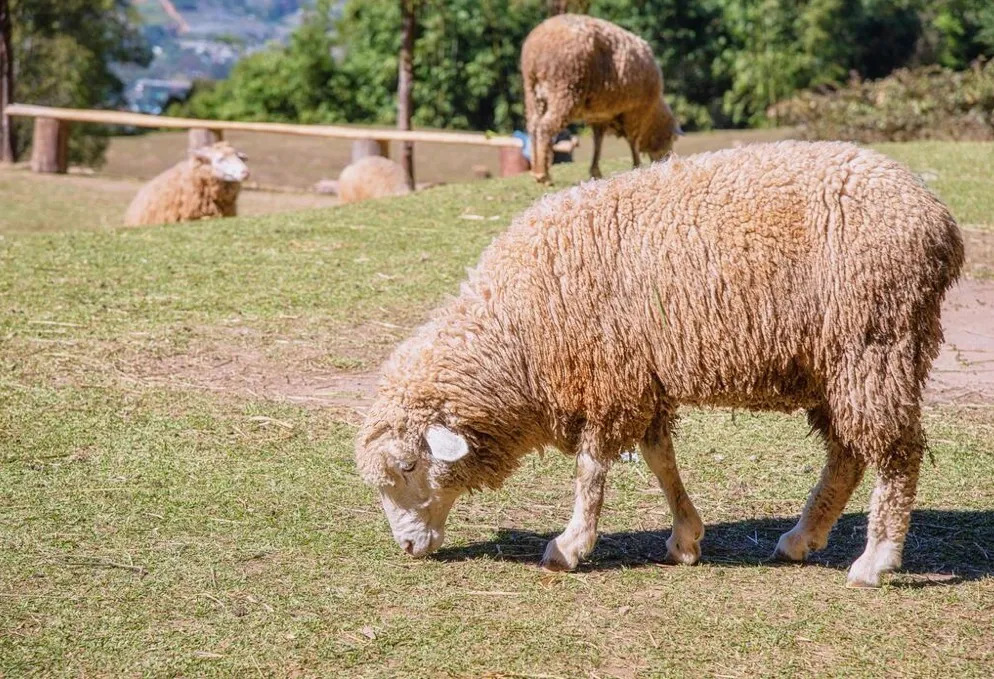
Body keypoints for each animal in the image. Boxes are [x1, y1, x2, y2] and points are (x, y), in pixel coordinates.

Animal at [355, 141, 964, 588]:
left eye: (408, 467)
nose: (407, 546)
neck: (518, 336)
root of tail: (939, 221)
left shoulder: (611, 377)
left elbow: (590, 470)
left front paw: (569, 546)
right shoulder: (640, 376)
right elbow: (659, 458)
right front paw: (685, 537)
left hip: (876, 340)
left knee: (896, 452)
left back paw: (875, 560)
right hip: (837, 360)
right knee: (847, 452)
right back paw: (801, 539)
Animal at [521, 13, 683, 184]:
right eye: (670, 140)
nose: (666, 162)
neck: (653, 114)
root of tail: (536, 49)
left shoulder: (600, 116)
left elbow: (598, 142)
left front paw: (595, 171)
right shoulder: (634, 113)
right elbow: (633, 141)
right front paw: (637, 165)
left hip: (533, 93)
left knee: (533, 126)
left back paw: (535, 169)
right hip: (564, 89)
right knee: (545, 128)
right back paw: (543, 175)